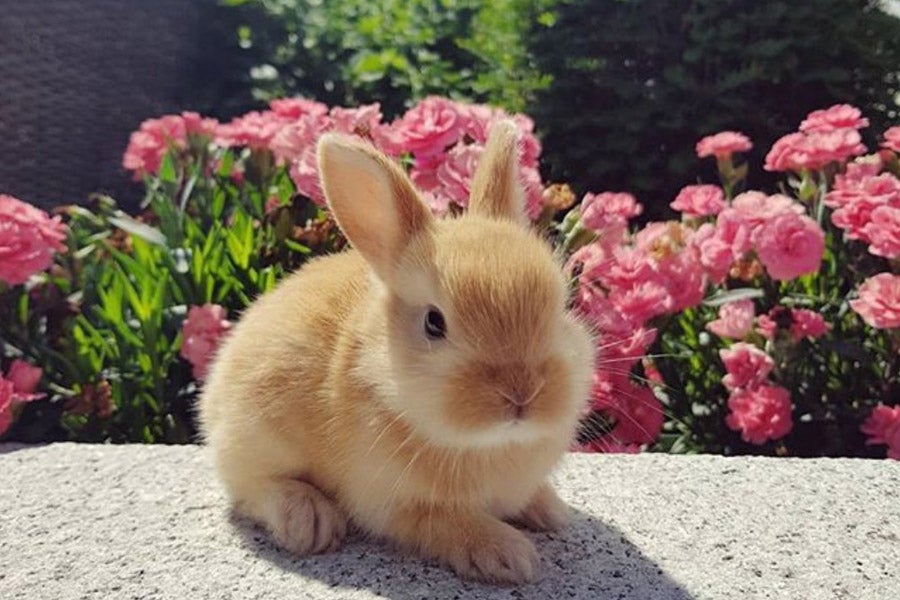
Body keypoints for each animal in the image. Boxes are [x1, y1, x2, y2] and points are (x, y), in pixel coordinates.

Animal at [198, 120, 595, 585]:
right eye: (434, 323)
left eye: (561, 306)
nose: (522, 393)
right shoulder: (395, 504)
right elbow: (447, 523)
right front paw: (509, 556)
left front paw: (552, 512)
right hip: (251, 438)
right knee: (251, 488)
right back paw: (309, 520)